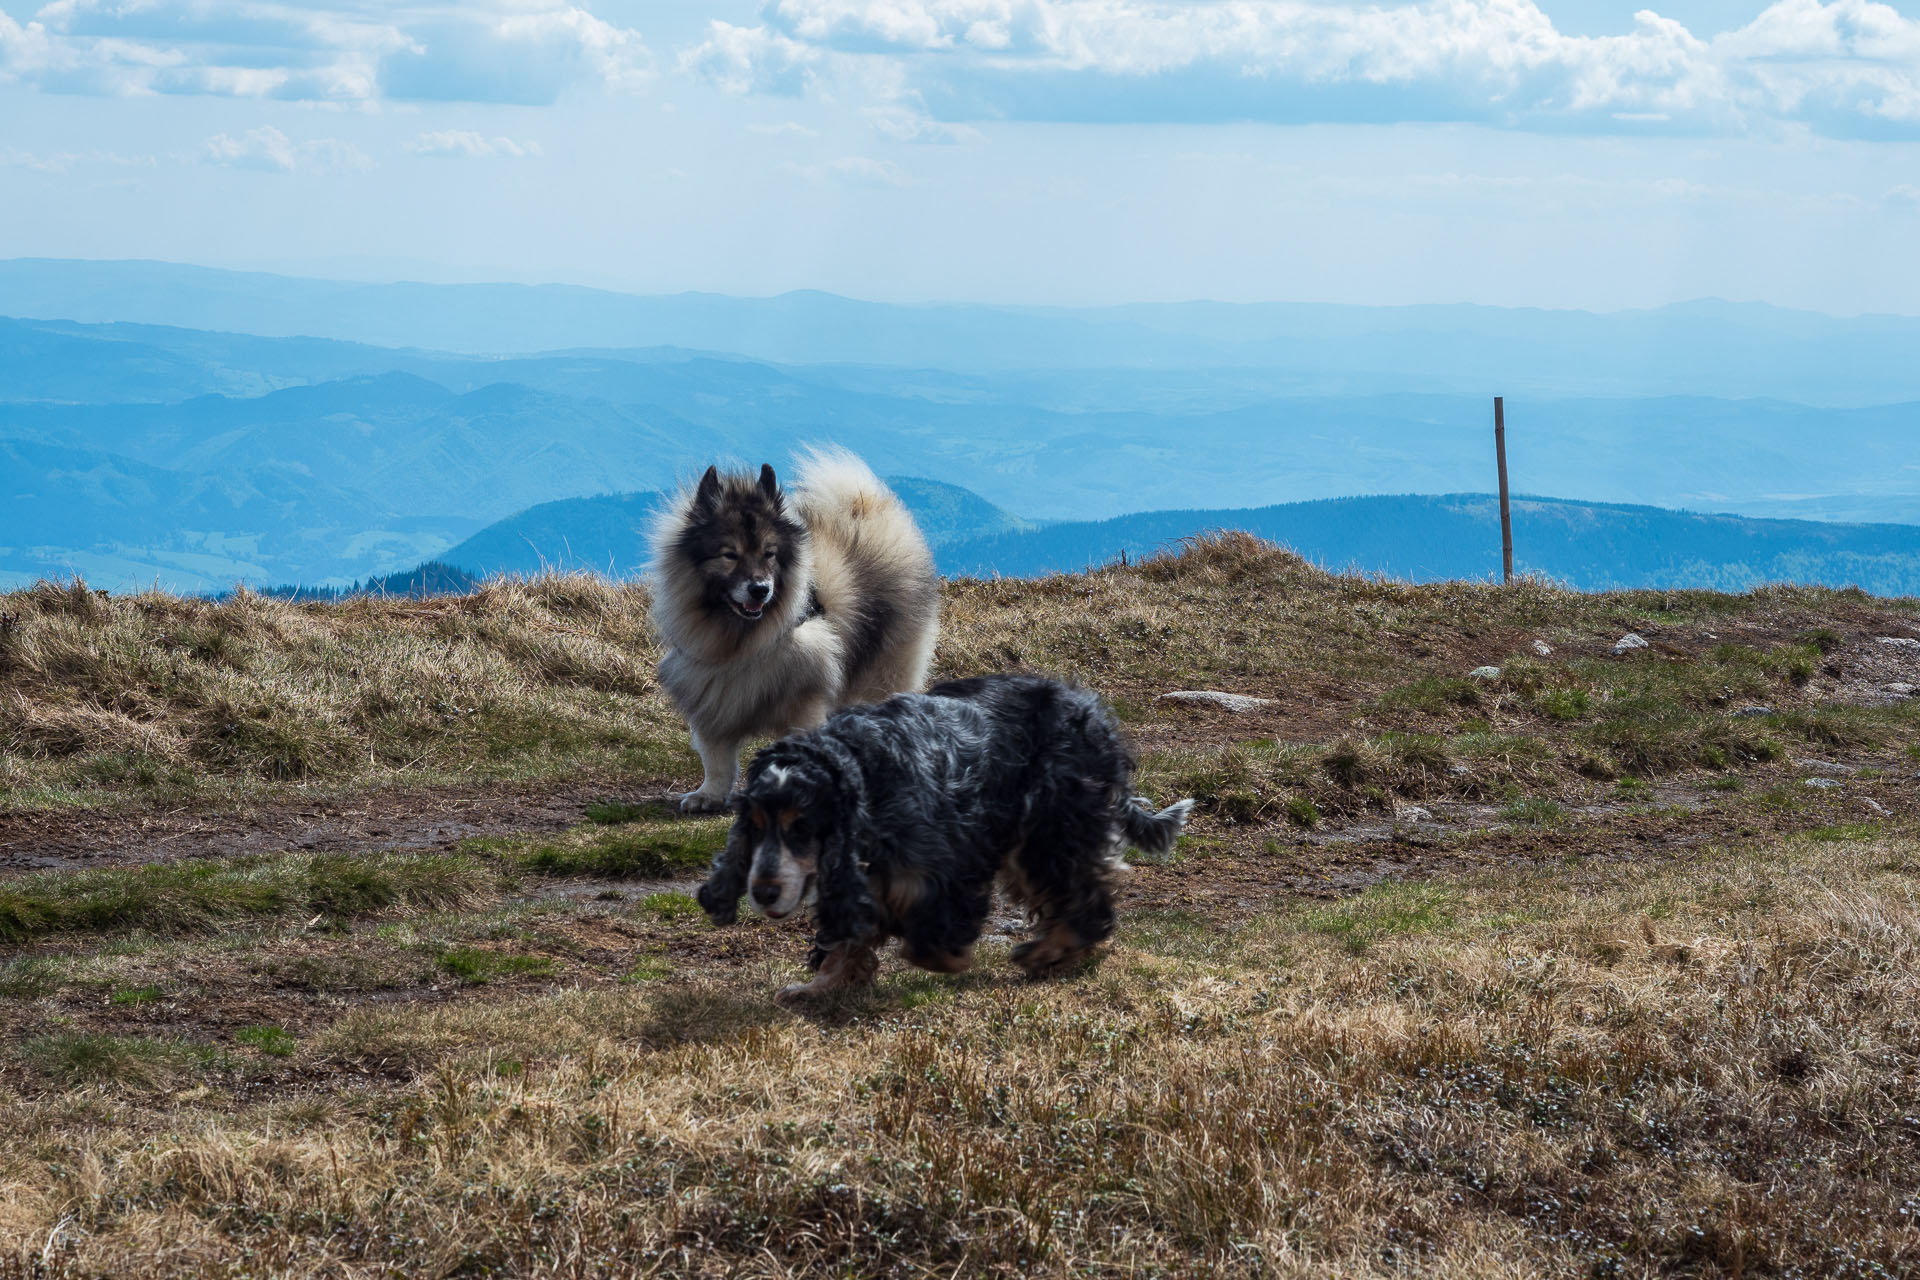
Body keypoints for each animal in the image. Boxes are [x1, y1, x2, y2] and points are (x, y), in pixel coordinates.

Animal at [698, 667, 1190, 1005]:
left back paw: (1048, 952)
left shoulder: (947, 859)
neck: (862, 772)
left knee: (1085, 894)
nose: (762, 892)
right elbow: (849, 937)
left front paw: (941, 954)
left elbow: (926, 932)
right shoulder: (861, 875)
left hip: (1048, 827)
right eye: (754, 826)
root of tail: (1093, 714)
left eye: (802, 826)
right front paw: (819, 987)